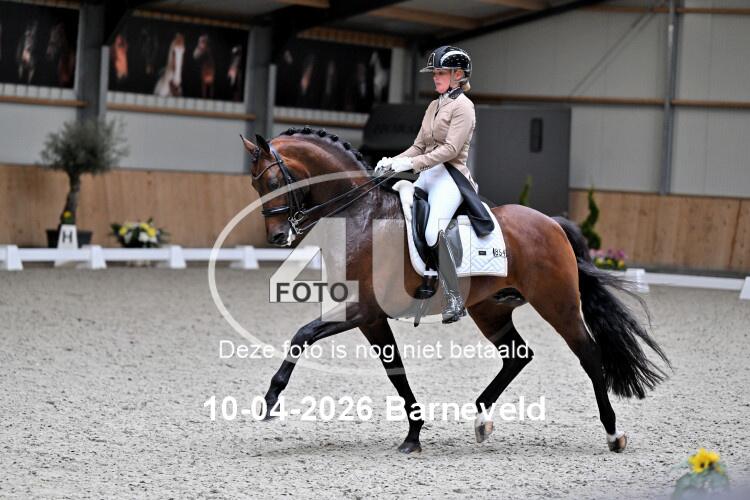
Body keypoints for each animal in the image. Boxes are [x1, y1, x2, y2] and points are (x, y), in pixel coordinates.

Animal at [240, 128, 670, 454]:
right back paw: (481, 419)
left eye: (275, 182)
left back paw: (614, 434)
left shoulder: (361, 309)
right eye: (255, 184)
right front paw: (413, 435)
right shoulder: (371, 317)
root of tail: (552, 222)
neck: (361, 215)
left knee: (589, 354)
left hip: (557, 304)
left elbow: (302, 335)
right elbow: (395, 370)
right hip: (491, 309)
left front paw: (270, 400)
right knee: (517, 355)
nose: (278, 237)